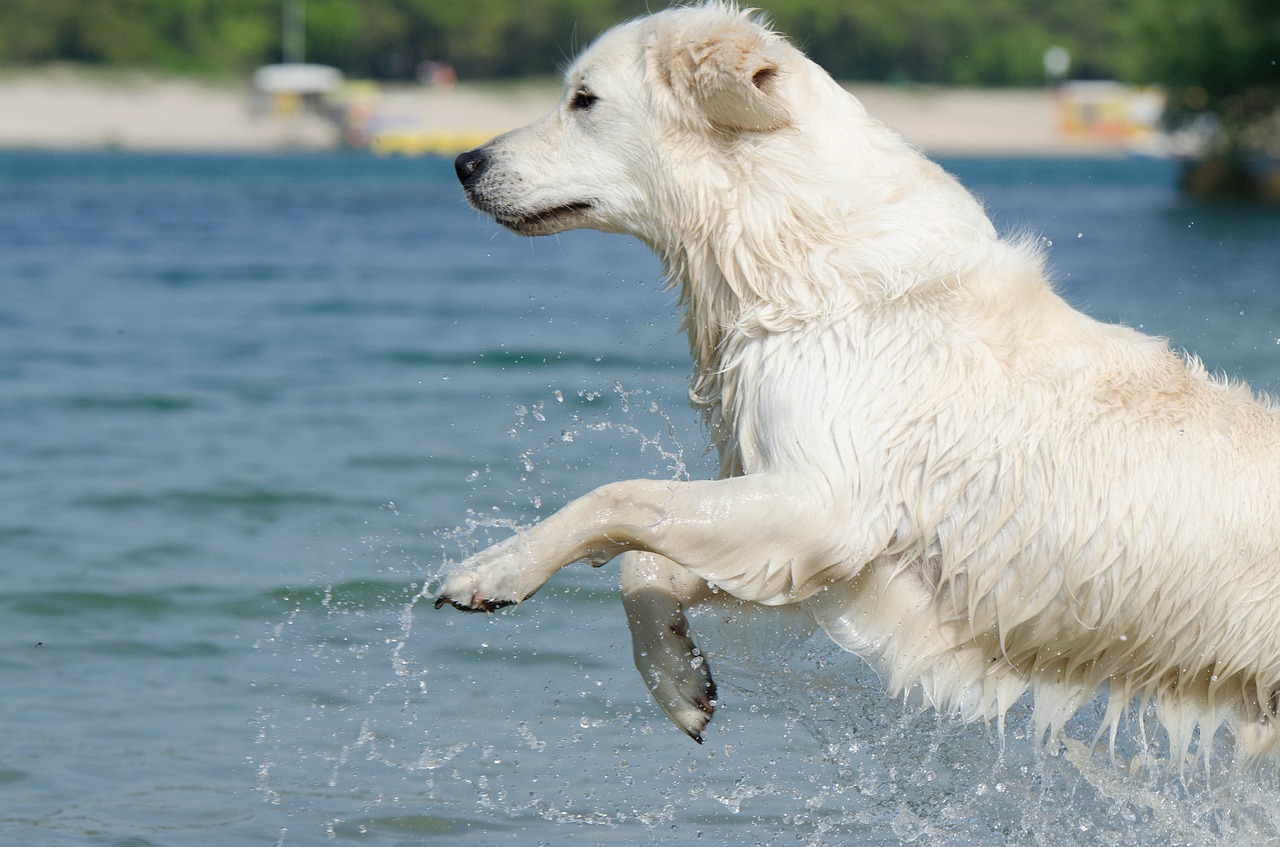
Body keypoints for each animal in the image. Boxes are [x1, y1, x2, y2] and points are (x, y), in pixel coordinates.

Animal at [437, 1, 1280, 762]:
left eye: (583, 99)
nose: (463, 163)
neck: (792, 248)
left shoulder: (827, 502)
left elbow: (620, 498)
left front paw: (492, 569)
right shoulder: (832, 547)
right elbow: (646, 559)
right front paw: (679, 677)